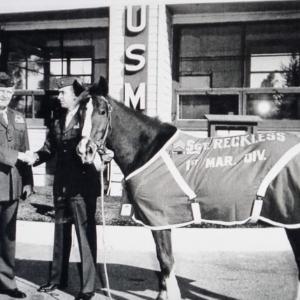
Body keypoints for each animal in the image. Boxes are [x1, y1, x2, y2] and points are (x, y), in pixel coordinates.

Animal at [77, 78, 300, 300]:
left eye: (102, 111)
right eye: (79, 113)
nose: (84, 150)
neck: (148, 149)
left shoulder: (160, 218)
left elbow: (166, 260)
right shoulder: (158, 222)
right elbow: (161, 262)